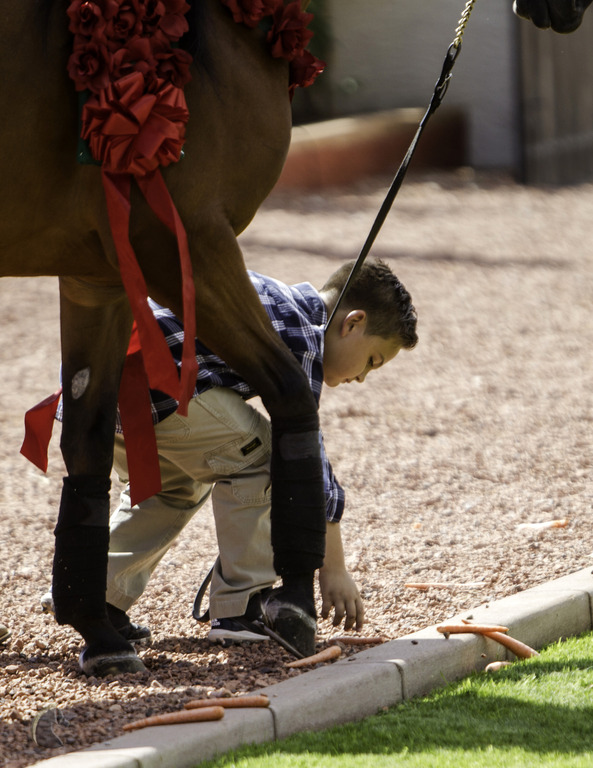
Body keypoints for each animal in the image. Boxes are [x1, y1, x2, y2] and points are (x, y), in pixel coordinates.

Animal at [1, 0, 326, 676]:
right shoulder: (186, 240)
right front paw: (296, 602)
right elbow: (289, 391)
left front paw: (97, 628)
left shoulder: (98, 276)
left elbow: (89, 441)